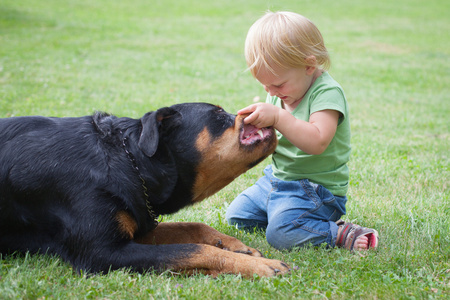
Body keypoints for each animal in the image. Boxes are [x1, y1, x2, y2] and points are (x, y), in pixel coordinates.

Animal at [0, 102, 288, 276]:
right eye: (218, 114)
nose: (257, 111)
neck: (129, 162)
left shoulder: (138, 223)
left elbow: (192, 228)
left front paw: (235, 246)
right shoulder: (101, 253)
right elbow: (193, 250)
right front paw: (260, 265)